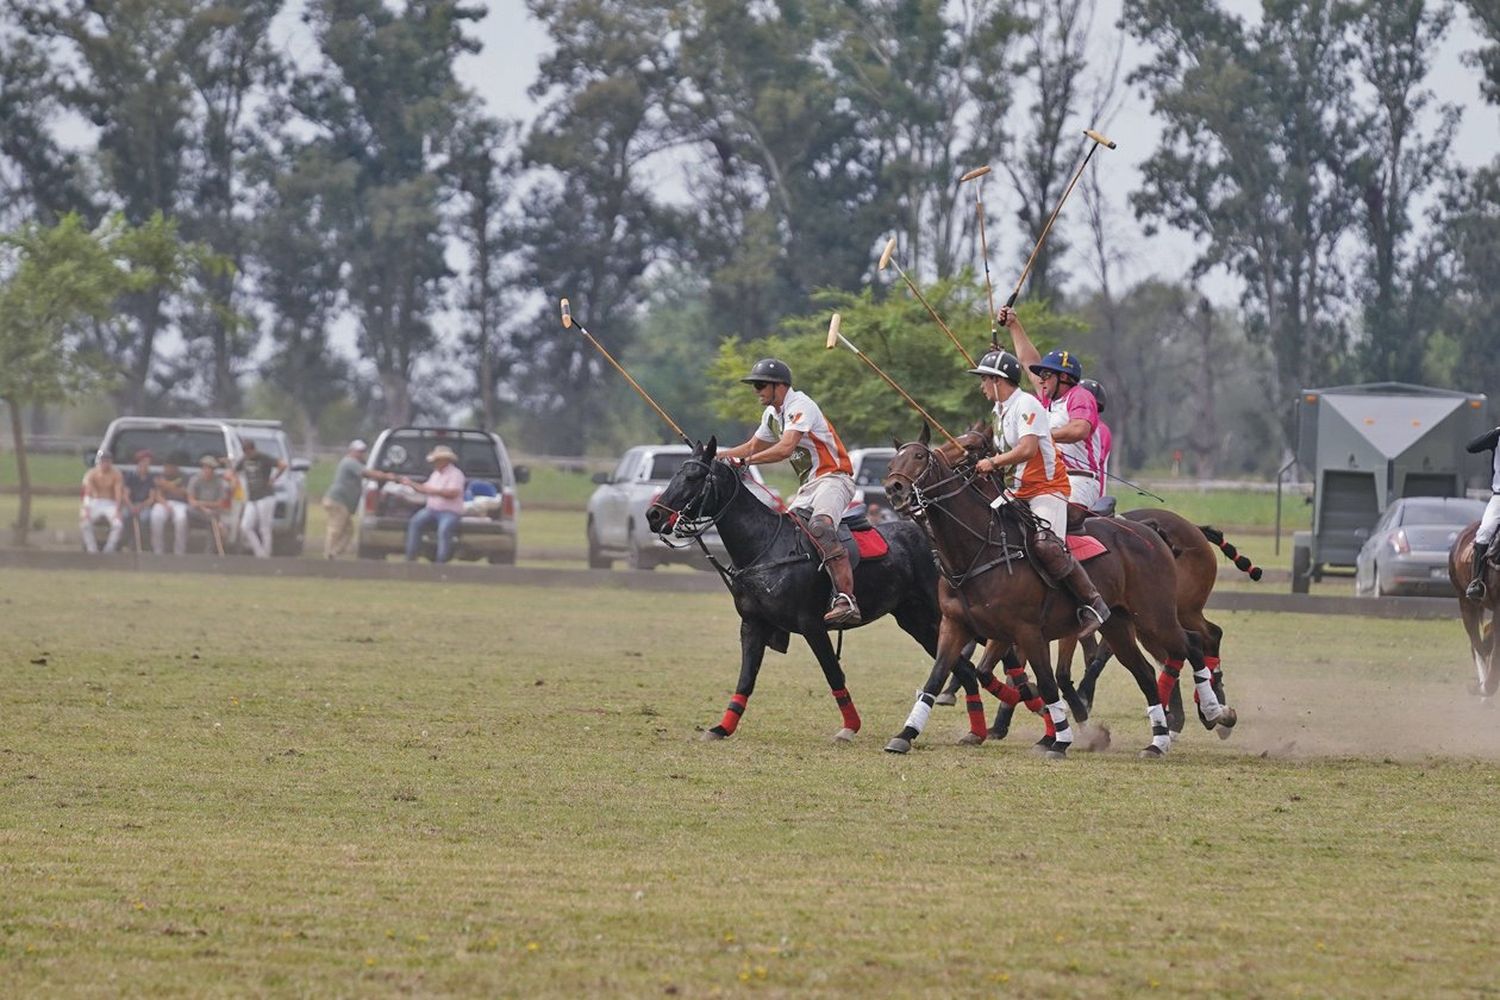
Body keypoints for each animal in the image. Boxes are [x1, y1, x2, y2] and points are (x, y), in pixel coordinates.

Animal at [639, 440, 990, 743]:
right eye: (676, 473)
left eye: (693, 476)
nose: (653, 515)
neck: (764, 547)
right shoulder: (752, 624)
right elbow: (746, 678)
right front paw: (721, 727)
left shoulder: (811, 624)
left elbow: (833, 673)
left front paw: (850, 727)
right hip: (916, 621)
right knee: (965, 668)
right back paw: (977, 731)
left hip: (941, 614)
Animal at [876, 431, 1230, 758]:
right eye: (893, 463)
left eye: (921, 457)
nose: (894, 488)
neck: (979, 550)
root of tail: (1153, 533)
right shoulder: (959, 625)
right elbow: (941, 676)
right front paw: (905, 734)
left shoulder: (1028, 631)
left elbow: (1048, 681)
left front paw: (1058, 738)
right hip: (1119, 624)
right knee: (1146, 670)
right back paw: (1158, 741)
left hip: (1155, 615)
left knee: (1192, 643)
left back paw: (1214, 714)